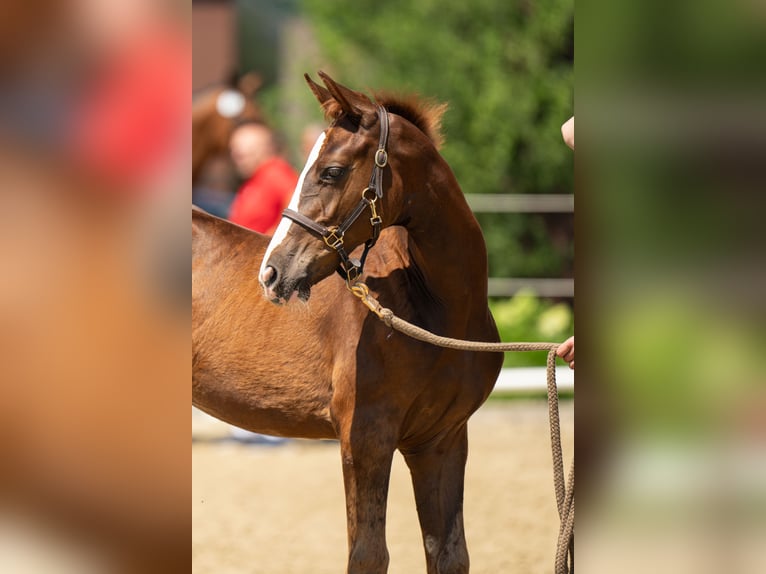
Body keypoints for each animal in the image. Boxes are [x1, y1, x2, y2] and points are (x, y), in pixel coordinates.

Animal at [192, 72, 508, 574]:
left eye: (332, 172)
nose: (272, 272)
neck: (435, 309)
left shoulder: (441, 441)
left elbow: (449, 553)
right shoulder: (365, 438)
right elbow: (368, 555)